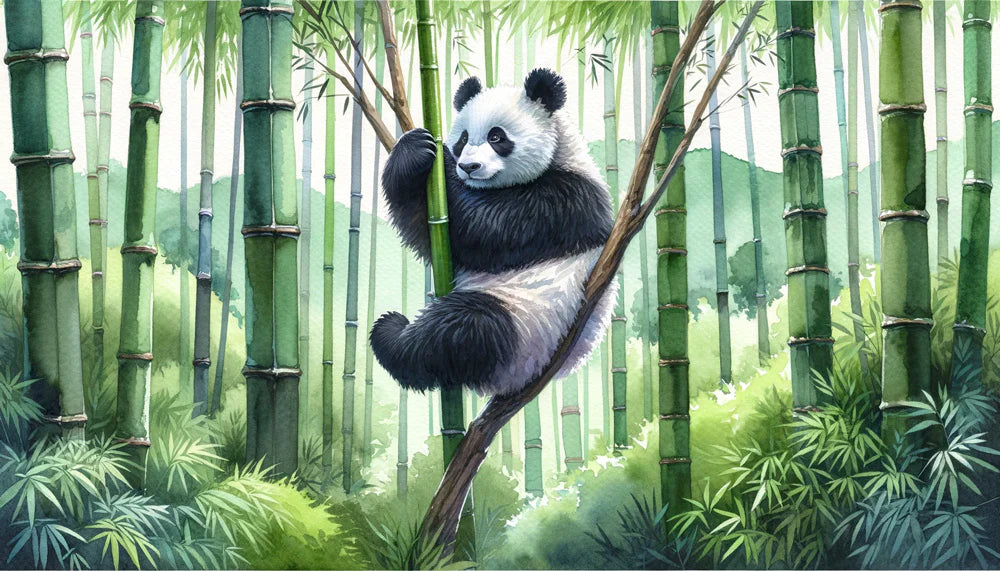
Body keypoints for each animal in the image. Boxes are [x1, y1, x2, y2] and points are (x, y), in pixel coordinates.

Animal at [370, 68, 617, 396]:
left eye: (496, 137)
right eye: (463, 138)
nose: (468, 166)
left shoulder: (570, 201)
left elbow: (487, 229)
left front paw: (440, 161)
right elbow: (426, 228)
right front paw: (414, 147)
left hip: (527, 330)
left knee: (463, 328)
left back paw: (391, 332)